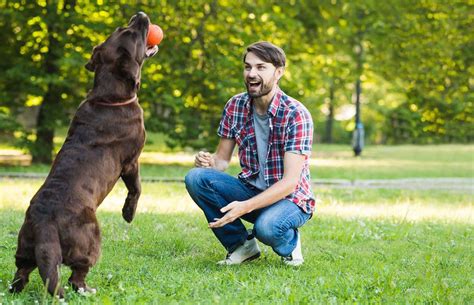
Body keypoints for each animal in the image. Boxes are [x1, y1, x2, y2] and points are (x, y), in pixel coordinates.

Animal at [9, 11, 159, 296]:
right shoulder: (131, 162)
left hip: (25, 245)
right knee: (76, 275)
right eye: (130, 32)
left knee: (22, 271)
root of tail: (44, 223)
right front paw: (128, 213)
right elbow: (136, 188)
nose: (140, 14)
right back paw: (87, 289)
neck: (109, 97)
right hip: (90, 238)